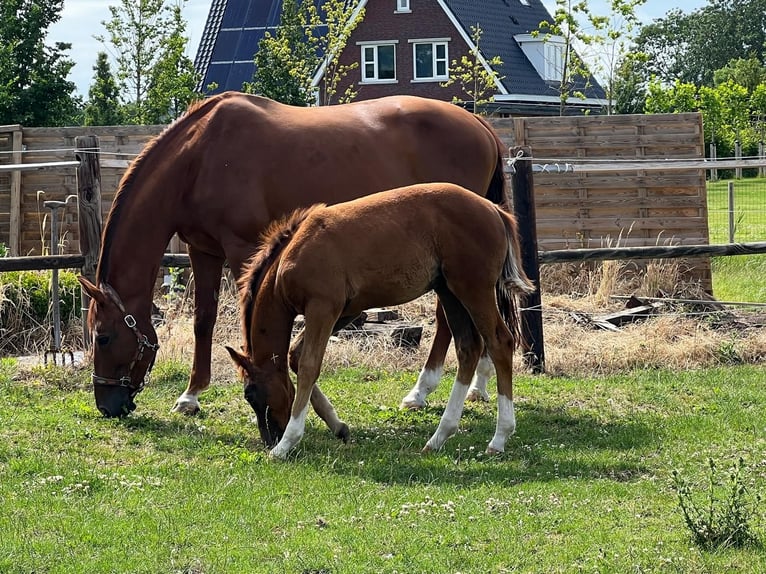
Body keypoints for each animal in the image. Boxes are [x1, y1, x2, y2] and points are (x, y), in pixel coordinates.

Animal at [78, 92, 510, 420]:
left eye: (102, 337)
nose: (107, 405)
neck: (198, 157)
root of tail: (480, 124)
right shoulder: (204, 250)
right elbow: (204, 320)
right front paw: (191, 395)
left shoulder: (244, 250)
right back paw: (476, 385)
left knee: (451, 318)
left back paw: (423, 389)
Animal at [226, 184, 536, 460]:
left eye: (250, 395)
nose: (270, 438)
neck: (292, 254)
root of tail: (495, 210)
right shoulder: (346, 311)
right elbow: (295, 356)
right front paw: (337, 426)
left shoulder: (322, 308)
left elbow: (307, 366)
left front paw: (286, 444)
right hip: (449, 291)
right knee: (468, 348)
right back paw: (439, 437)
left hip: (473, 289)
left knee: (499, 342)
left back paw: (499, 438)